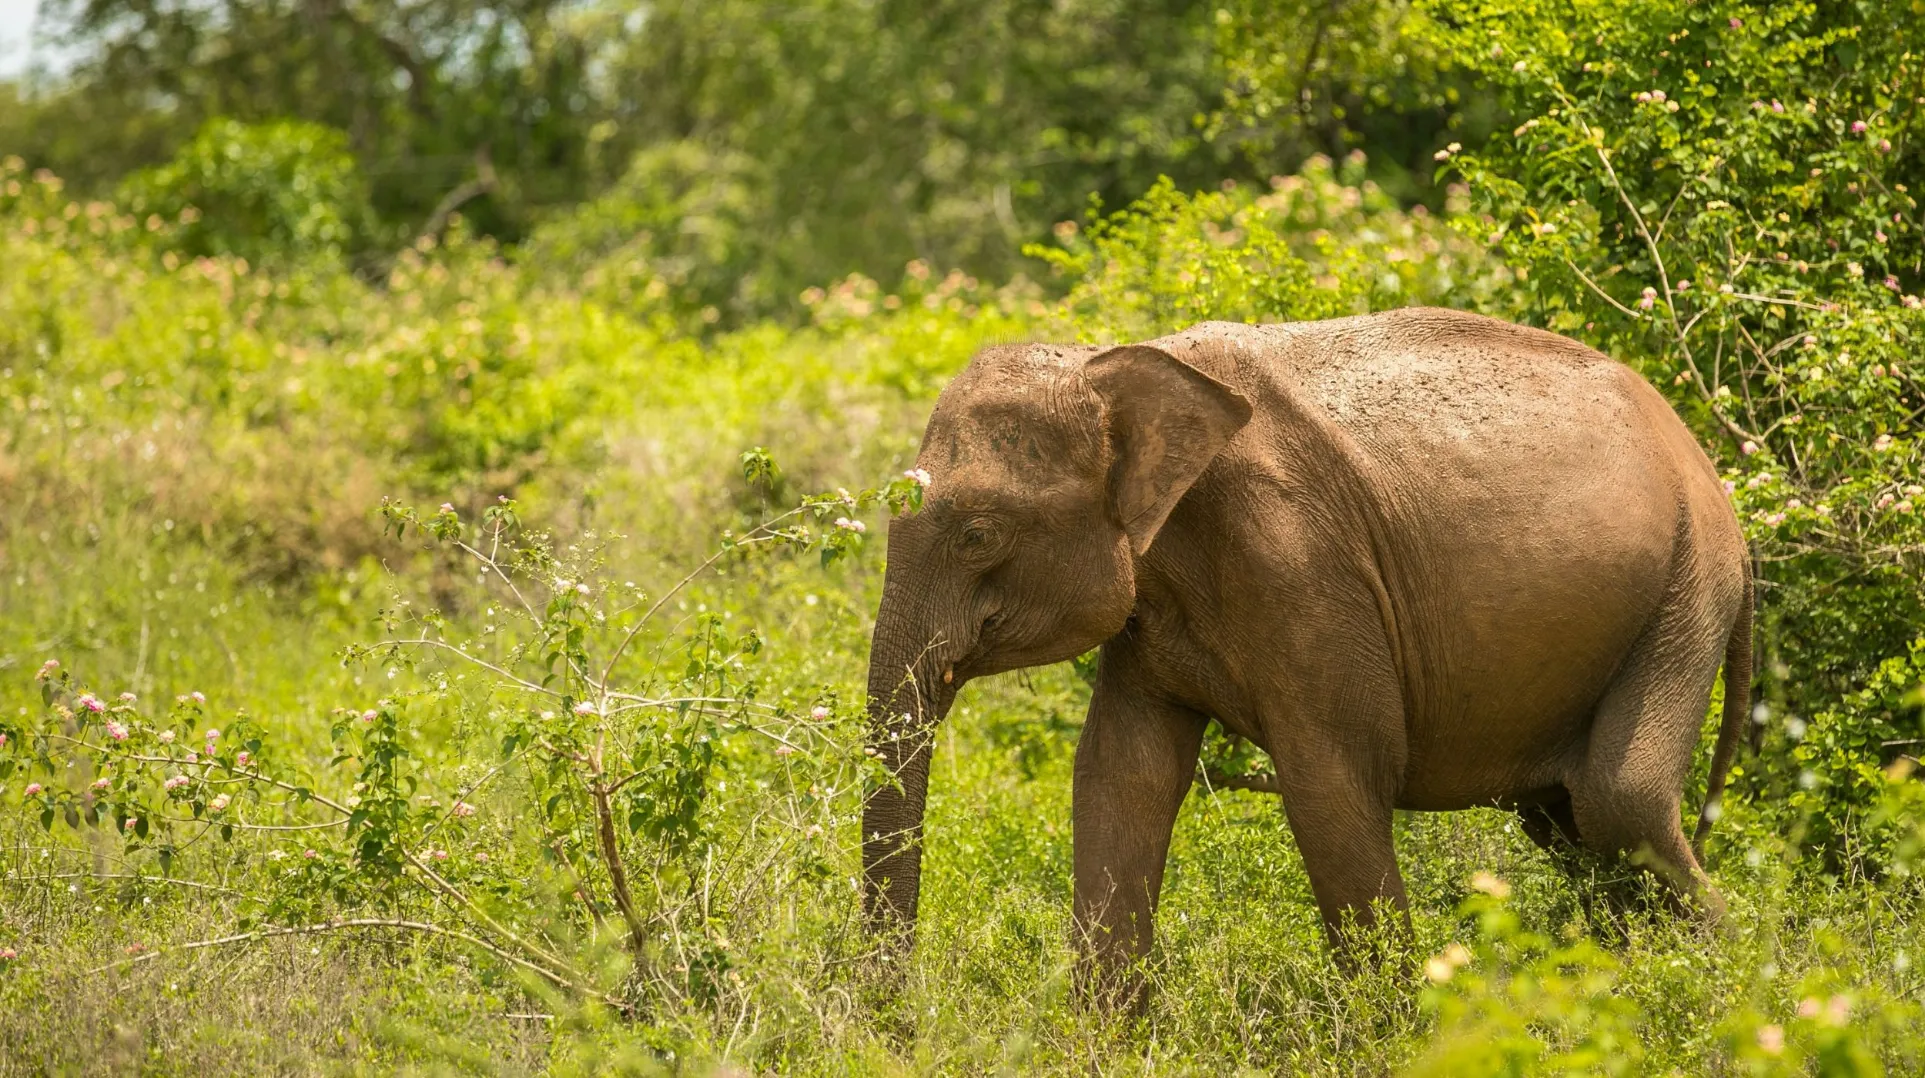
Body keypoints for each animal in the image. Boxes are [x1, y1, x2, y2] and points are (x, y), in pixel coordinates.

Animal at [859, 308, 1751, 1000]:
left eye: (978, 535)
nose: (894, 1021)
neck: (1108, 358)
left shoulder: (1298, 560)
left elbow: (1334, 777)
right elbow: (1122, 772)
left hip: (1686, 589)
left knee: (1617, 802)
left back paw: (1735, 985)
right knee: (1567, 825)